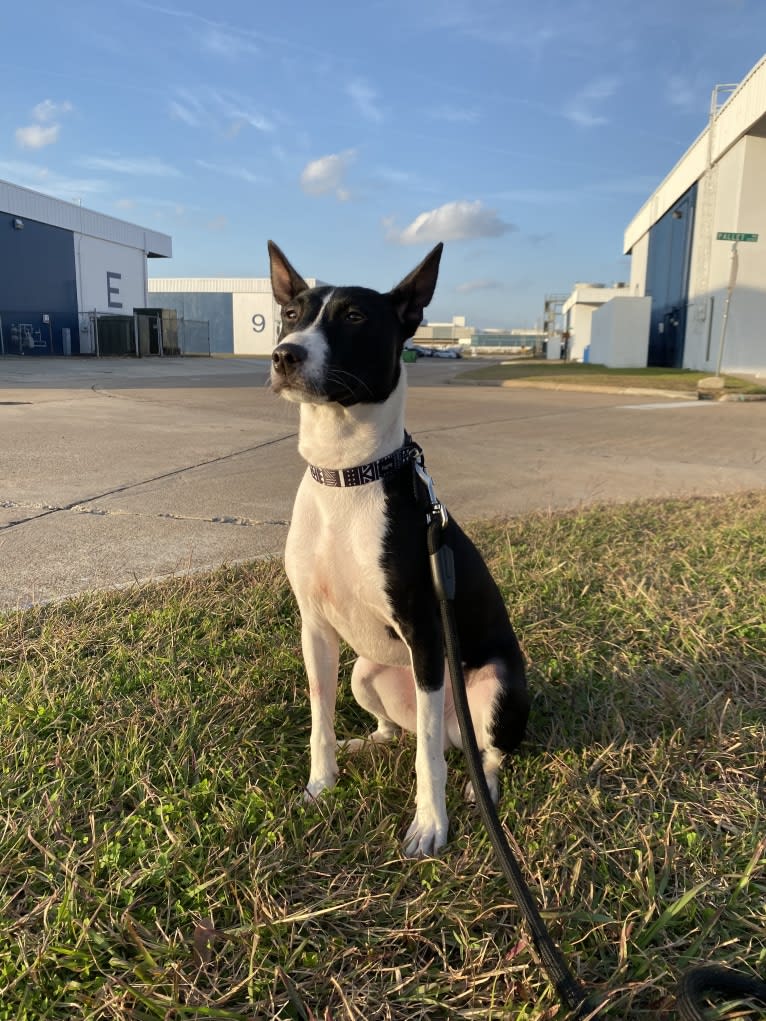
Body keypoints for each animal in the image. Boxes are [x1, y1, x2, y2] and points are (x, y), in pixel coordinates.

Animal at [267, 242, 527, 857]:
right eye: (291, 314)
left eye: (356, 318)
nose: (285, 355)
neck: (346, 475)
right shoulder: (315, 629)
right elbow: (319, 720)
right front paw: (321, 785)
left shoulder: (427, 635)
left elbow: (427, 758)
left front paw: (430, 825)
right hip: (366, 672)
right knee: (401, 730)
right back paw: (372, 741)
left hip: (497, 685)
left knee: (483, 750)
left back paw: (485, 784)